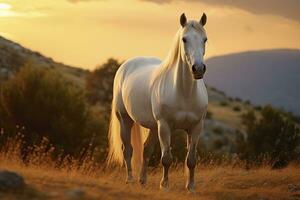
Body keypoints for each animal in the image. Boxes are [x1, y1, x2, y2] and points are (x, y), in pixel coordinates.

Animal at [108, 12, 209, 192]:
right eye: (184, 39)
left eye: (205, 39)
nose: (198, 69)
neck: (184, 93)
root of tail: (125, 66)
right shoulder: (165, 126)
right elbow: (166, 158)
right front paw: (165, 185)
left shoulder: (196, 127)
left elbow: (191, 160)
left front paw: (191, 187)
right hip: (126, 120)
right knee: (127, 150)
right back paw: (130, 179)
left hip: (154, 127)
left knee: (146, 150)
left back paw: (142, 180)